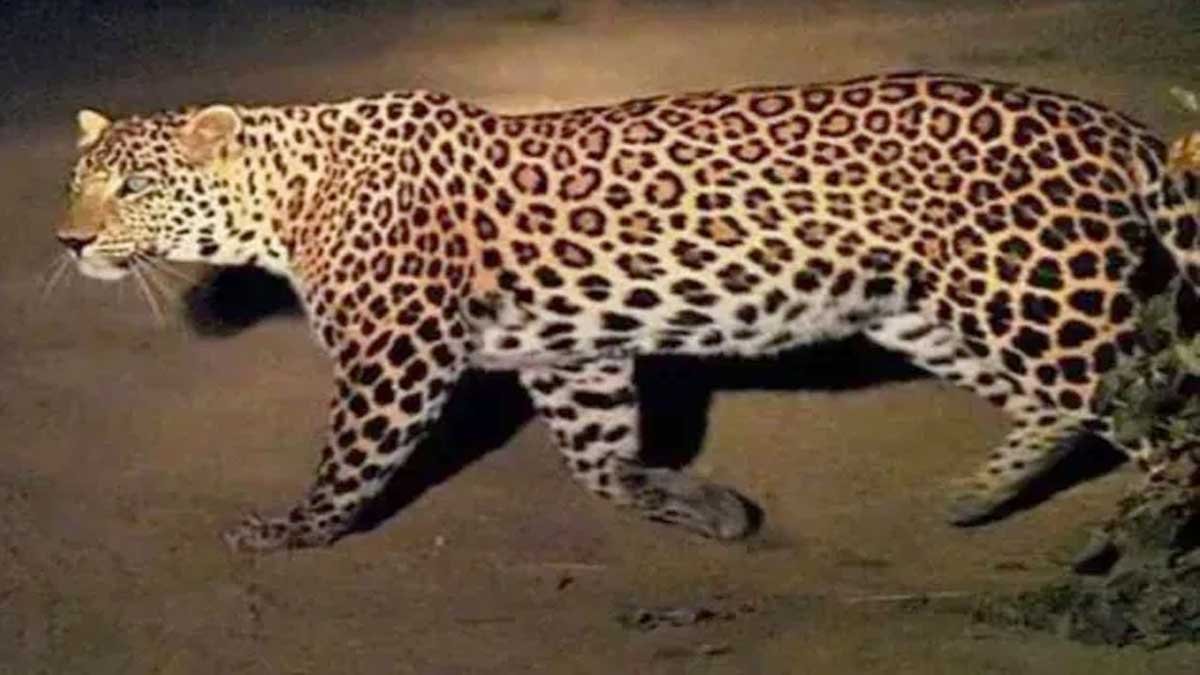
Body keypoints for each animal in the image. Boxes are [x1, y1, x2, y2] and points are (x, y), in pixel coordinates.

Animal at [57, 72, 1200, 553]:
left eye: (135, 187)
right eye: (78, 180)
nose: (67, 240)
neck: (285, 198)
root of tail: (1115, 126)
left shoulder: (399, 352)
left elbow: (352, 457)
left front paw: (293, 529)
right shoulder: (573, 354)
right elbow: (599, 460)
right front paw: (700, 506)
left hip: (1034, 297)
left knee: (1156, 414)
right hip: (934, 308)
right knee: (1066, 408)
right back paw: (974, 497)